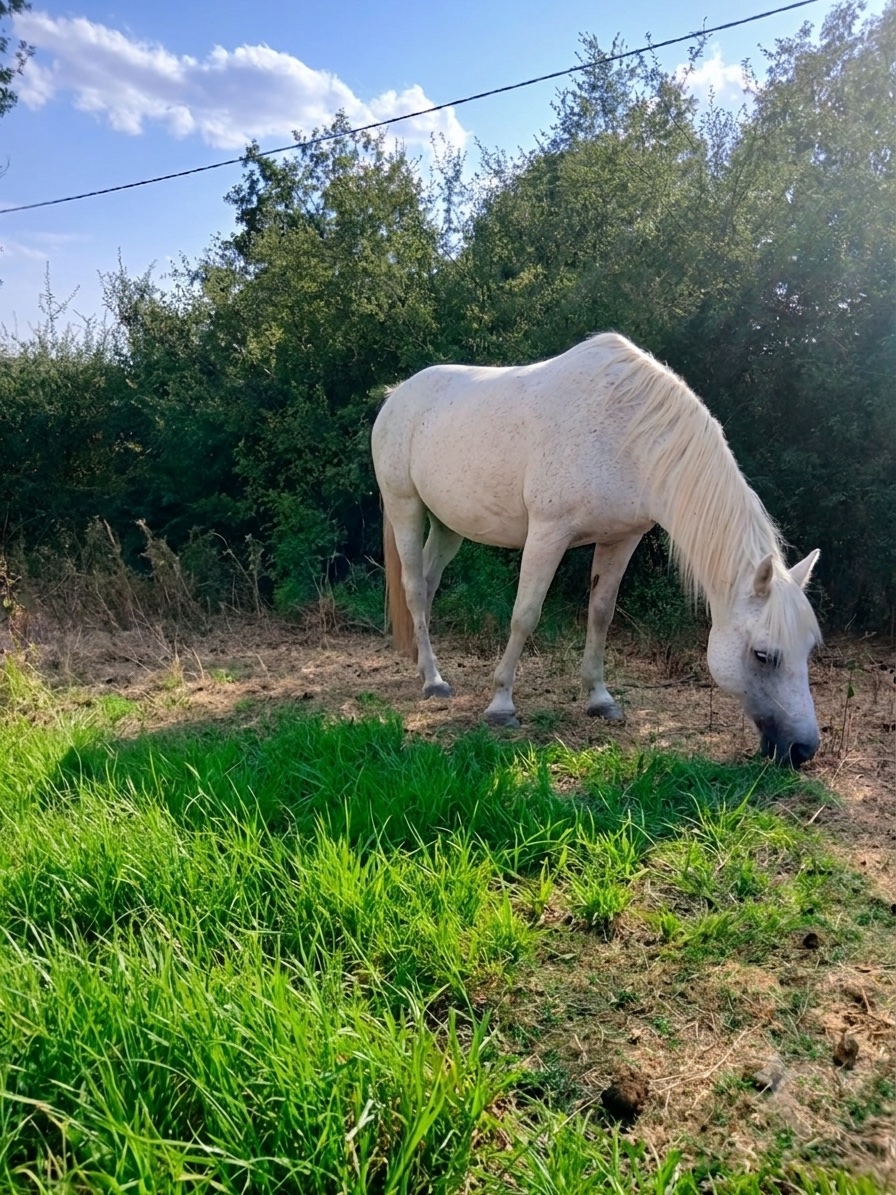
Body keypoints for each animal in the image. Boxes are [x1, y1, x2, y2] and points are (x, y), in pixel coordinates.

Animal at [371, 333, 822, 767]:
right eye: (763, 655)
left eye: (809, 649)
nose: (803, 750)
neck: (627, 435)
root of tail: (396, 395)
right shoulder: (548, 534)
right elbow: (524, 615)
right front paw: (501, 705)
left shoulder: (621, 539)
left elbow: (601, 614)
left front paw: (600, 699)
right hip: (405, 506)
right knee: (415, 588)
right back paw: (434, 681)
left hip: (448, 526)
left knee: (429, 583)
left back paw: (422, 665)